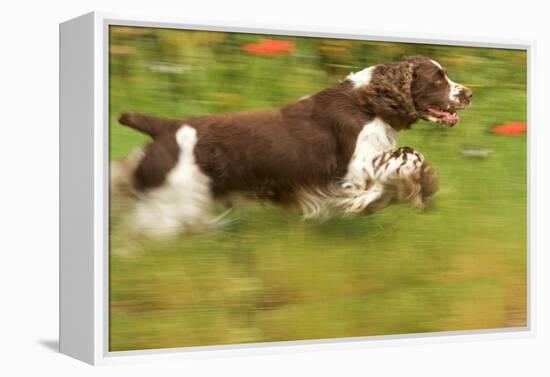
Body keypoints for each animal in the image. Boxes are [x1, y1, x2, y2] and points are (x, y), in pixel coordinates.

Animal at [113, 55, 474, 235]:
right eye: (438, 79)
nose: (470, 93)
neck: (367, 104)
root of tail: (165, 126)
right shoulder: (353, 171)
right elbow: (407, 155)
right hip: (169, 204)